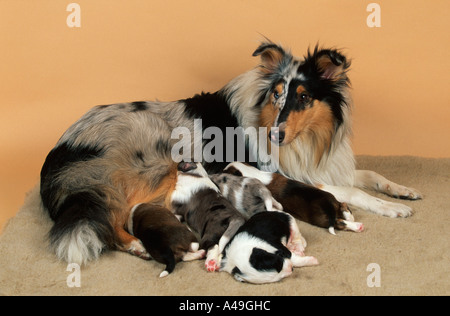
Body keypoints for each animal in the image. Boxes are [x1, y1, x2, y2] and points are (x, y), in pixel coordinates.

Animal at [223, 162, 364, 233]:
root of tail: (328, 205)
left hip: (321, 219)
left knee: (339, 223)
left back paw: (356, 226)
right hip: (333, 200)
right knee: (343, 205)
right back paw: (350, 217)